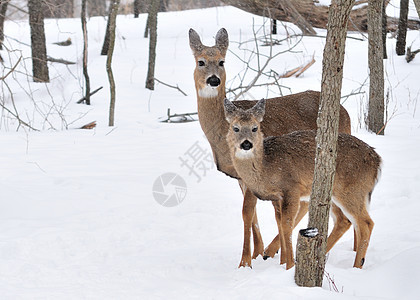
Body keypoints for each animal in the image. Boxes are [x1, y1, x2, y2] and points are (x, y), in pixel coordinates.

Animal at [190, 28, 352, 268]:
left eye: (222, 61)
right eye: (200, 61)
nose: (213, 80)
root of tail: (346, 113)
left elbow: (248, 212)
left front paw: (246, 261)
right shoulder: (243, 178)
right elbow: (255, 215)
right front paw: (258, 253)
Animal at [225, 98, 382, 270]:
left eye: (255, 128)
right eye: (235, 128)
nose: (246, 144)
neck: (266, 167)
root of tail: (377, 161)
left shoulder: (292, 187)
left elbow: (286, 223)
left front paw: (289, 265)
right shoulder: (275, 196)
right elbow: (274, 221)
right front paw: (280, 262)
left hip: (352, 191)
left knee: (366, 223)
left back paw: (357, 265)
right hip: (335, 192)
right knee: (345, 221)